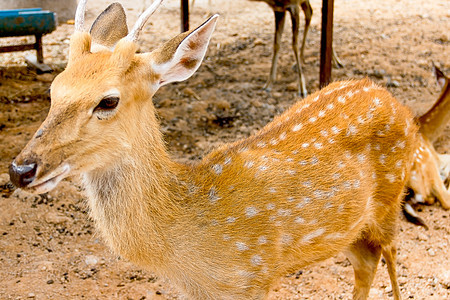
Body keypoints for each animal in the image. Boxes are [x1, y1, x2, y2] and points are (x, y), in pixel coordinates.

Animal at [10, 0, 416, 300]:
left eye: (108, 101)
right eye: (54, 91)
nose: (21, 169)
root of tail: (390, 97)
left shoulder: (254, 274)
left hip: (390, 199)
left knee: (390, 254)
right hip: (352, 227)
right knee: (366, 264)